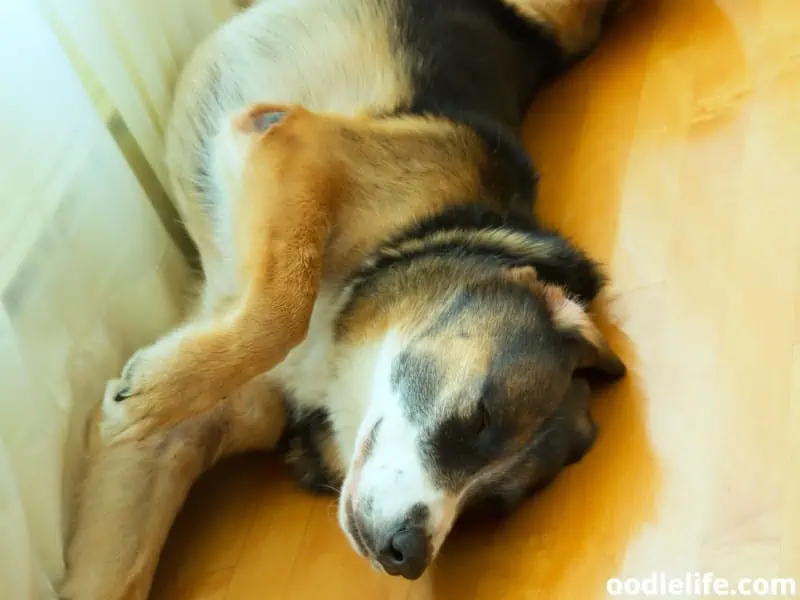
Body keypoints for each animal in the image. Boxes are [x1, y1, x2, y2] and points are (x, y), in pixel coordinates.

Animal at [64, 0, 632, 596]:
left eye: (490, 505)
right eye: (480, 420)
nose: (406, 556)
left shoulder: (166, 442)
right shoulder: (297, 141)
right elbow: (283, 310)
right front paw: (152, 393)